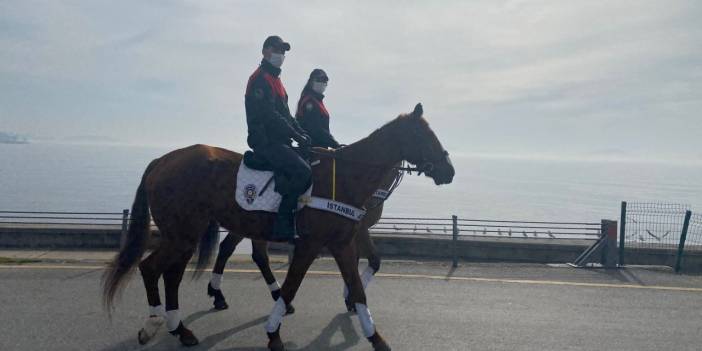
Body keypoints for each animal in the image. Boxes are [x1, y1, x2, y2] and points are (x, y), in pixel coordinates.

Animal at [104, 103, 456, 350]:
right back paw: (155, 323)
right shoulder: (312, 244)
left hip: (189, 234)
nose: (449, 170)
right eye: (424, 136)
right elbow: (292, 285)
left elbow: (358, 286)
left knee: (174, 274)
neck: (345, 176)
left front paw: (375, 336)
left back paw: (181, 327)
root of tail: (162, 160)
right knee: (152, 268)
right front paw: (273, 332)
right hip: (183, 234)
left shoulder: (343, 242)